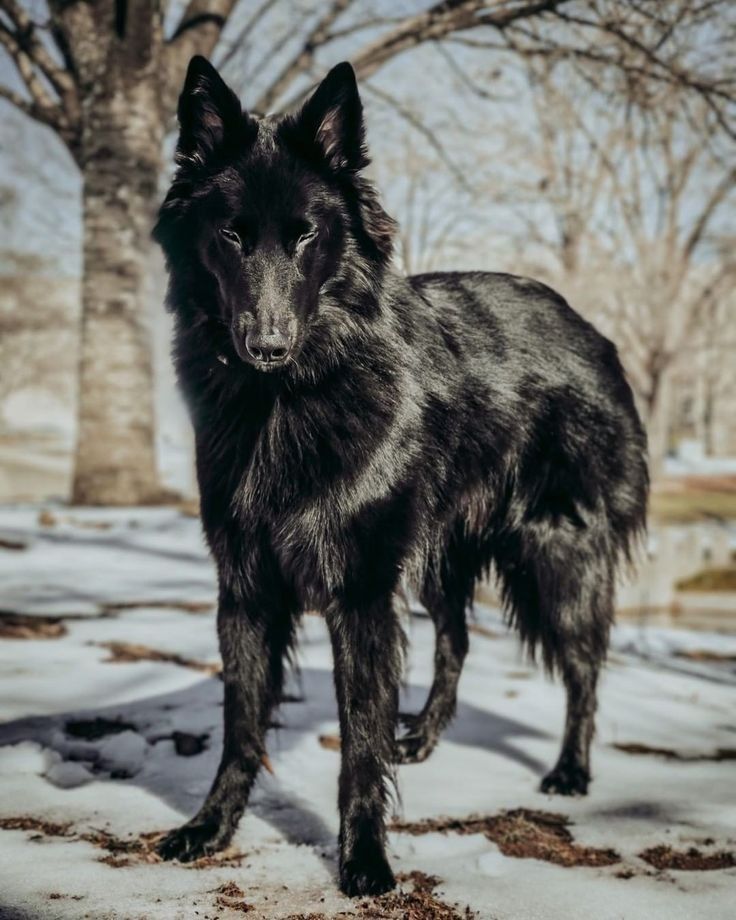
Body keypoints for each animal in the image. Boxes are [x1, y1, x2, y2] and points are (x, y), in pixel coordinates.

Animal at [152, 54, 648, 896]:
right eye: (230, 236)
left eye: (307, 235)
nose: (268, 347)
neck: (290, 399)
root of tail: (592, 332)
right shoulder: (246, 588)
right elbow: (240, 727)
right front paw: (212, 827)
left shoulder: (361, 593)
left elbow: (357, 743)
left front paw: (364, 860)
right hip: (441, 557)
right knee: (457, 641)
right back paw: (420, 738)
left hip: (558, 558)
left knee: (584, 668)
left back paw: (571, 771)